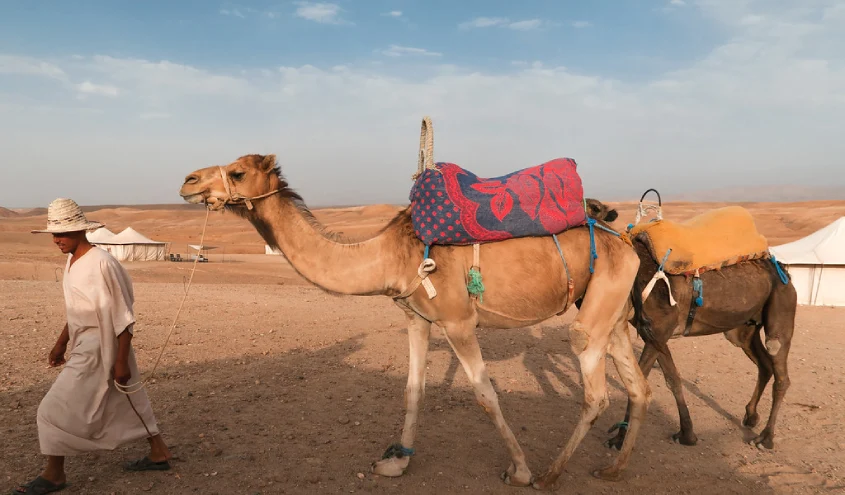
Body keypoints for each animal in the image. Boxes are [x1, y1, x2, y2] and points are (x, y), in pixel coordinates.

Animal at [176, 153, 652, 490]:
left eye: (237, 172)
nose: (188, 181)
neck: (390, 254)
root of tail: (626, 241)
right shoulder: (417, 318)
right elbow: (412, 389)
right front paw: (396, 460)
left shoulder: (458, 321)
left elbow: (486, 395)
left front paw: (518, 470)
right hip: (610, 310)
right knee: (638, 387)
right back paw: (614, 469)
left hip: (596, 308)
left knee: (595, 388)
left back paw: (551, 474)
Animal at [584, 199, 796, 454]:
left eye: (592, 208)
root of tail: (783, 270)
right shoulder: (654, 334)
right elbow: (672, 379)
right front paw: (687, 434)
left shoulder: (659, 329)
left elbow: (638, 383)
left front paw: (619, 439)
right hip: (743, 328)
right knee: (764, 364)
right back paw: (751, 416)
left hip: (781, 305)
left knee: (780, 369)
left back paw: (765, 438)